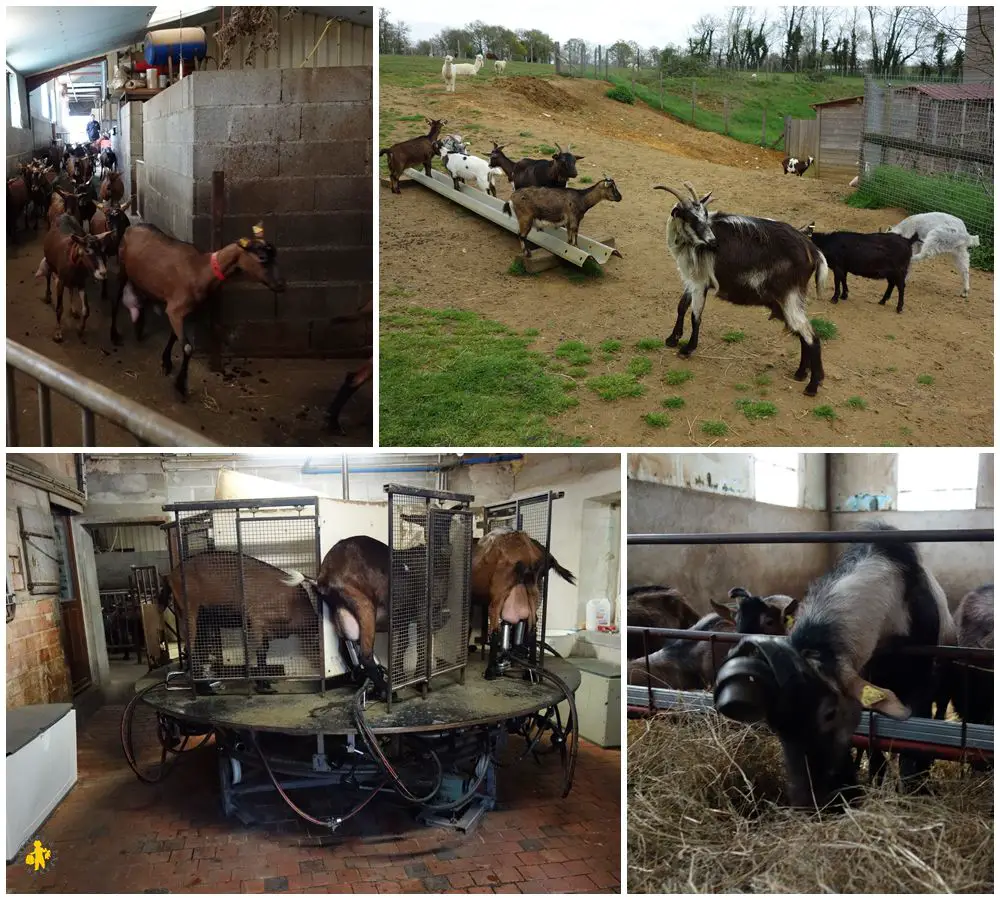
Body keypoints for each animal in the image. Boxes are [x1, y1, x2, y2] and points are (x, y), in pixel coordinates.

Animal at [114, 221, 286, 394]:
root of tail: (132, 226)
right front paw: (181, 385)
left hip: (144, 278)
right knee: (117, 296)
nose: (281, 285)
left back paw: (139, 327)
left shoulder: (181, 312)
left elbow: (174, 337)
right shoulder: (175, 309)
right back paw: (114, 335)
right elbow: (187, 348)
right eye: (262, 258)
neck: (200, 270)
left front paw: (166, 362)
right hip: (122, 264)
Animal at [656, 182, 828, 394]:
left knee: (811, 336)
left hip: (791, 297)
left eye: (705, 215)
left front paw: (687, 349)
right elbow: (681, 306)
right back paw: (800, 373)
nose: (713, 242)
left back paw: (812, 386)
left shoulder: (700, 282)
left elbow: (695, 316)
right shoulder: (691, 279)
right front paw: (672, 339)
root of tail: (813, 250)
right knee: (802, 333)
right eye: (690, 217)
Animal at [716, 520, 956, 808]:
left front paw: (914, 788)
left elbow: (913, 747)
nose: (815, 801)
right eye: (775, 722)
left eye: (829, 713)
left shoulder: (920, 684)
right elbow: (876, 750)